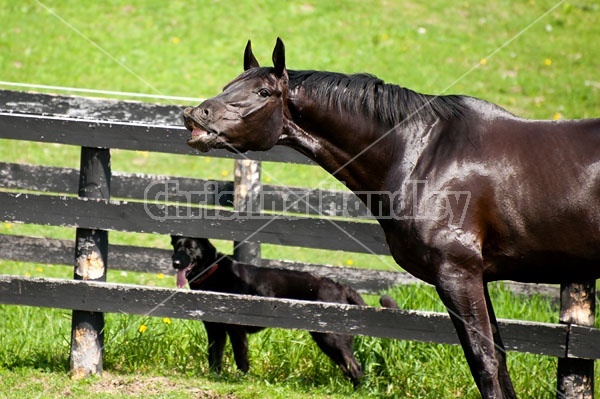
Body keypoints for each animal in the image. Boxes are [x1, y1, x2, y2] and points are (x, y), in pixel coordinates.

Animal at [171, 236, 396, 386]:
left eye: (190, 248)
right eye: (176, 247)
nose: (175, 262)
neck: (212, 271)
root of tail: (340, 286)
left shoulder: (237, 330)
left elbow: (241, 360)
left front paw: (241, 381)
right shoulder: (215, 330)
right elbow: (214, 357)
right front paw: (214, 377)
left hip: (331, 339)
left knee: (355, 367)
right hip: (327, 340)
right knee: (349, 367)